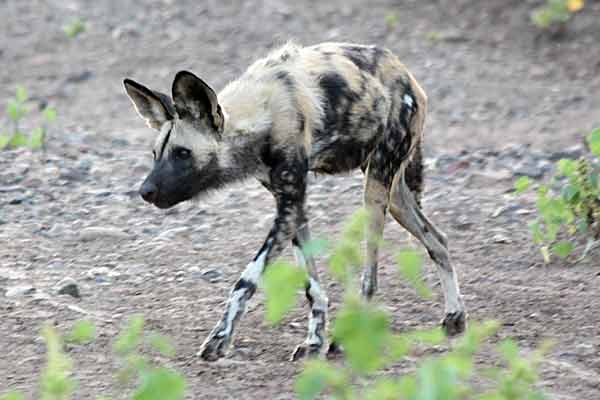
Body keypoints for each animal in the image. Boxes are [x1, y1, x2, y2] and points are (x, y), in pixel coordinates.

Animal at [124, 42, 466, 360]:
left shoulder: (288, 205)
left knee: (370, 276)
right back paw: (455, 316)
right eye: (155, 154)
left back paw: (346, 340)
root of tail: (407, 76)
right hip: (394, 198)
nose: (145, 191)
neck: (262, 113)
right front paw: (313, 341)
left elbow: (246, 279)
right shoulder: (293, 207)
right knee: (438, 239)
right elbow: (311, 287)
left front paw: (220, 338)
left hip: (375, 191)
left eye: (182, 153)